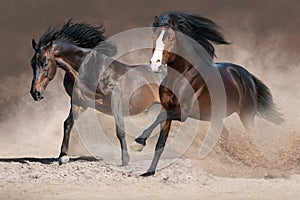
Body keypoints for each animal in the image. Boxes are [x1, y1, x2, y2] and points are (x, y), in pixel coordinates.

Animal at [29, 21, 162, 166]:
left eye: (45, 63)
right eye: (32, 64)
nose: (35, 93)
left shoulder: (116, 101)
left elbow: (120, 130)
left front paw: (125, 160)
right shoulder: (79, 103)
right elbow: (68, 124)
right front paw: (63, 156)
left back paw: (139, 144)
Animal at [132, 11, 284, 176]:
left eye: (171, 38)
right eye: (153, 37)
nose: (155, 63)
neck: (181, 76)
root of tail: (247, 76)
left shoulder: (183, 112)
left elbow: (159, 118)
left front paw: (138, 143)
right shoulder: (167, 108)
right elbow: (160, 142)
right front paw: (149, 171)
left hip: (246, 115)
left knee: (254, 138)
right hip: (216, 116)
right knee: (224, 133)